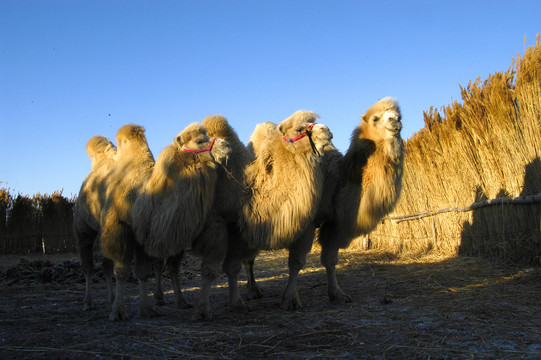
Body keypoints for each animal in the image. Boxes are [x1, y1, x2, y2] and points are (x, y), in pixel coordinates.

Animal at [99, 124, 155, 320]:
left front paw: (146, 308)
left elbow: (142, 272)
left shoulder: (142, 239)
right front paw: (117, 310)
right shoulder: (120, 231)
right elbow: (122, 272)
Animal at [132, 124, 232, 320]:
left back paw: (178, 301)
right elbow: (142, 272)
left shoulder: (195, 231)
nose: (226, 145)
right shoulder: (143, 240)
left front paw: (202, 309)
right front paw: (145, 308)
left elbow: (207, 269)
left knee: (170, 267)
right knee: (159, 265)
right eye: (199, 141)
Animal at [221, 110, 332, 310]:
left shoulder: (305, 226)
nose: (326, 130)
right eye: (299, 129)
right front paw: (236, 303)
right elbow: (232, 267)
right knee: (247, 261)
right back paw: (252, 290)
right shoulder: (236, 230)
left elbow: (296, 263)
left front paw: (290, 299)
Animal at [318, 97, 402, 302]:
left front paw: (337, 294)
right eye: (375, 119)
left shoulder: (334, 224)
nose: (395, 121)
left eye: (400, 115)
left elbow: (330, 259)